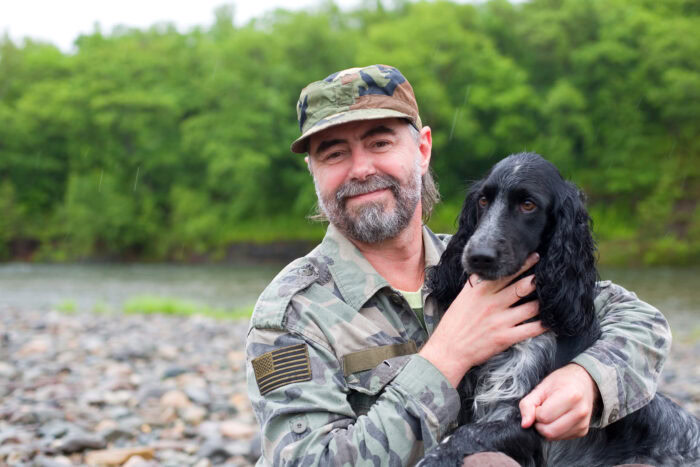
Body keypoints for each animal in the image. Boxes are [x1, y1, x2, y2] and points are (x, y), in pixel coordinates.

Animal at [418, 153, 696, 464]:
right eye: (483, 200)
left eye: (528, 204)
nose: (478, 255)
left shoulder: (528, 419)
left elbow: (464, 434)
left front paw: (434, 457)